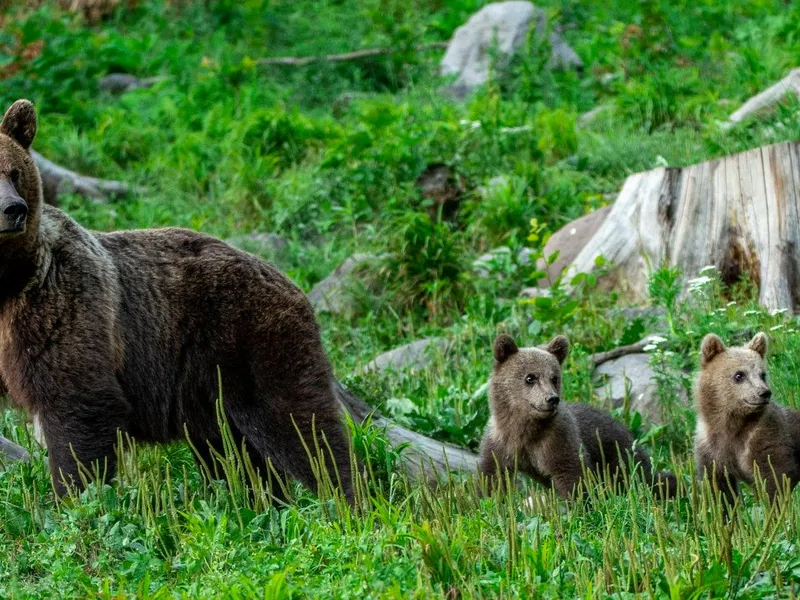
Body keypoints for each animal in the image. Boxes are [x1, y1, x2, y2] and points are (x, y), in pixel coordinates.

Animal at [0, 99, 354, 502]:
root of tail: (289, 281)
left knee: (301, 425)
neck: (6, 282)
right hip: (208, 386)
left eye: (13, 172)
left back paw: (348, 500)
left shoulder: (60, 307)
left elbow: (78, 409)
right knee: (235, 456)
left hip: (253, 341)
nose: (14, 209)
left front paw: (77, 499)